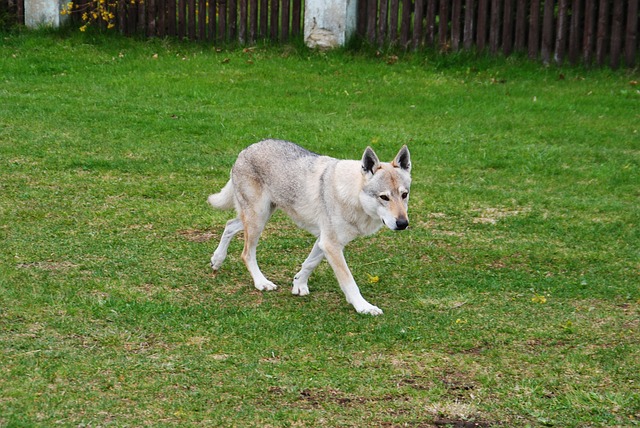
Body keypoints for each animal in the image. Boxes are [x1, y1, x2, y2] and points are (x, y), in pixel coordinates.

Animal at [208, 140, 412, 314]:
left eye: (404, 195)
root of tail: (245, 150)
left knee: (229, 225)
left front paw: (298, 285)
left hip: (259, 217)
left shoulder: (325, 241)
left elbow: (309, 263)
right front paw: (364, 307)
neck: (353, 195)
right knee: (246, 253)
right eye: (384, 197)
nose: (403, 224)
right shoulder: (331, 245)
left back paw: (217, 259)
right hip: (258, 219)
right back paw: (261, 282)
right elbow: (349, 281)